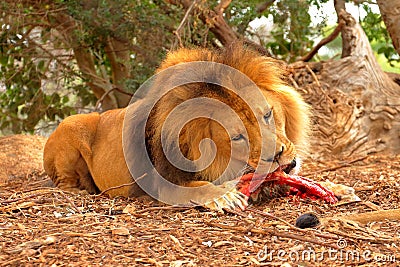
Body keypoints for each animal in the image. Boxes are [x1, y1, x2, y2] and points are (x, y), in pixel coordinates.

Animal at [44, 45, 310, 210]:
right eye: (237, 137)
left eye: (267, 114)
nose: (277, 155)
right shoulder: (159, 183)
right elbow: (199, 187)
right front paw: (224, 195)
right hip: (72, 123)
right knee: (63, 182)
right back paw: (80, 191)